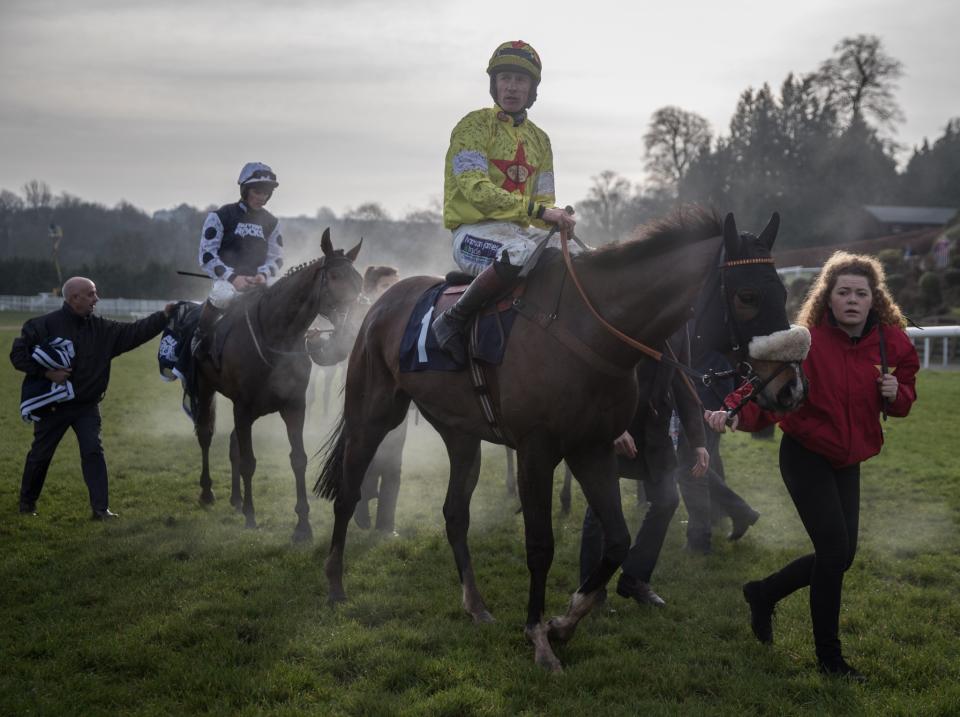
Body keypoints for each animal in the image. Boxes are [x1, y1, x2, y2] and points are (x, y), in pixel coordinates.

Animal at [197, 228, 362, 536]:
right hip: (203, 388)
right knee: (205, 435)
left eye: (358, 280)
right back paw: (207, 492)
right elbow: (249, 462)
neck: (275, 336)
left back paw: (236, 499)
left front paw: (303, 526)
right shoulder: (243, 407)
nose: (350, 330)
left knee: (233, 443)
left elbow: (298, 459)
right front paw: (251, 516)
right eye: (335, 277)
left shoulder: (293, 406)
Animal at [314, 210, 804, 668]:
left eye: (783, 293)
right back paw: (335, 585)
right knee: (349, 492)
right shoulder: (536, 451)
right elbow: (540, 545)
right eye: (747, 296)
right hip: (371, 414)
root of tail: (380, 301)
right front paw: (538, 637)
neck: (592, 329)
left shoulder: (592, 448)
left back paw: (476, 605)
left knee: (455, 513)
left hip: (460, 433)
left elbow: (618, 540)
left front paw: (564, 622)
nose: (789, 386)